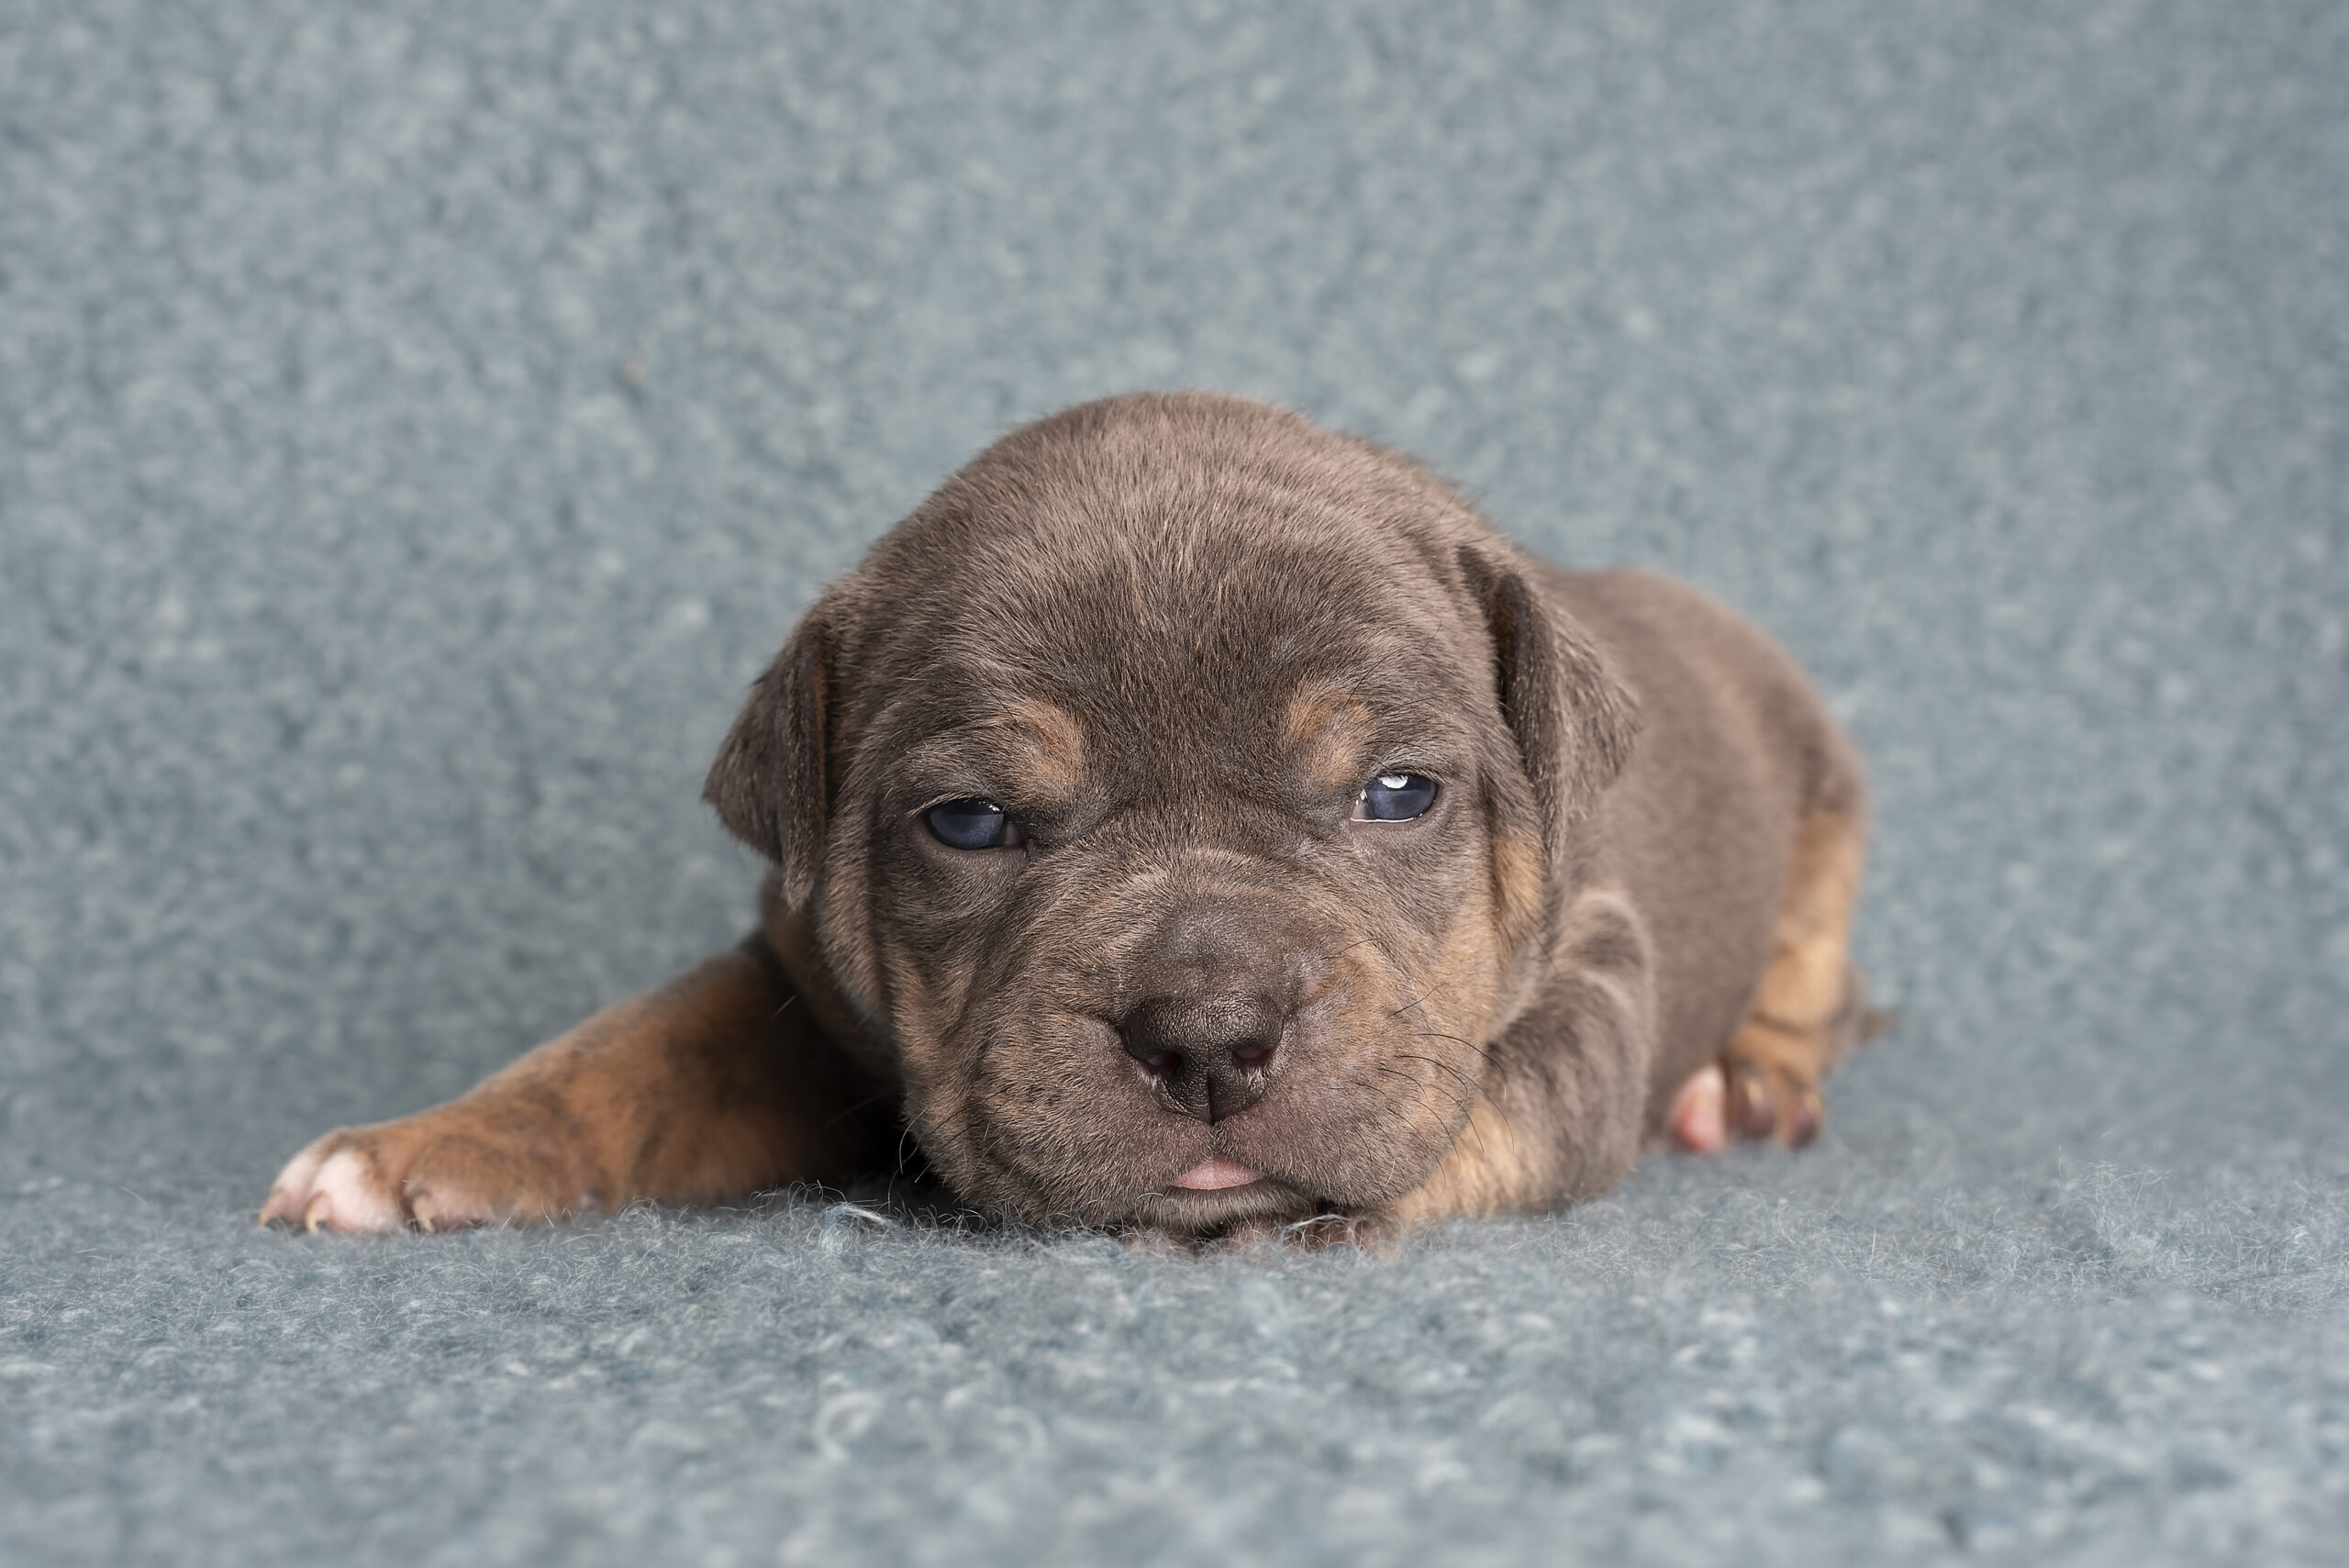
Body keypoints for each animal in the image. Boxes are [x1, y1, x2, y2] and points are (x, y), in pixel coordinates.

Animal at [262, 392, 1872, 1241]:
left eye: (1399, 795)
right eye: (971, 824)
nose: (1212, 1037)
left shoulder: (1594, 967)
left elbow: (1499, 1094)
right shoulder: (786, 983)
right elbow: (623, 1054)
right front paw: (428, 1142)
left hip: (1828, 794)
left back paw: (1752, 1081)